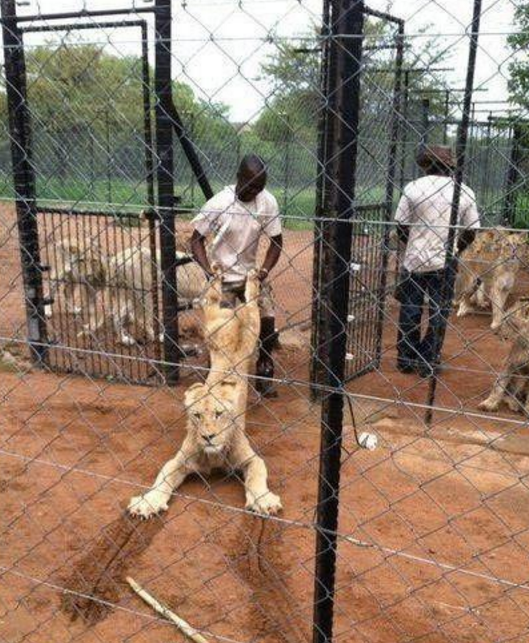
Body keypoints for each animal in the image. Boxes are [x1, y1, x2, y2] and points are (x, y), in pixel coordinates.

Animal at [128, 266, 282, 520]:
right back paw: (217, 275)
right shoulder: (179, 460)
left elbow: (257, 476)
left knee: (251, 301)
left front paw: (264, 501)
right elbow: (161, 479)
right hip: (211, 327)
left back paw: (251, 279)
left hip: (253, 326)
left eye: (219, 414)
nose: (208, 436)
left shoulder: (252, 459)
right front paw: (148, 502)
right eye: (197, 415)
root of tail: (234, 313)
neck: (214, 454)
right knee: (211, 300)